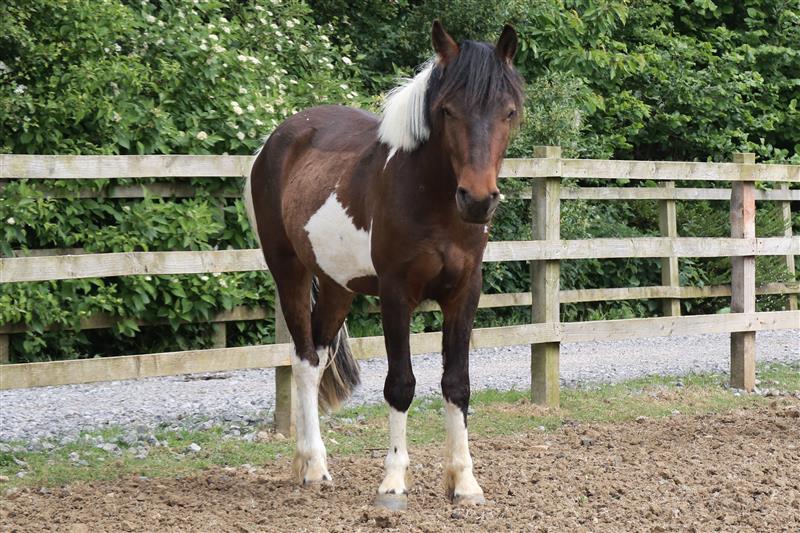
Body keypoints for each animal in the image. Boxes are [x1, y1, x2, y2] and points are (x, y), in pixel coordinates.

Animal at [247, 22, 528, 510]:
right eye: (447, 110)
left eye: (508, 111)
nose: (477, 200)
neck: (432, 200)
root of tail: (276, 140)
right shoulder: (397, 295)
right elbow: (400, 384)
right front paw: (393, 482)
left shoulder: (464, 294)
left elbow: (457, 383)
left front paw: (464, 483)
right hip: (290, 272)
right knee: (303, 361)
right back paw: (314, 467)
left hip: (337, 285)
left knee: (317, 361)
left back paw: (308, 463)